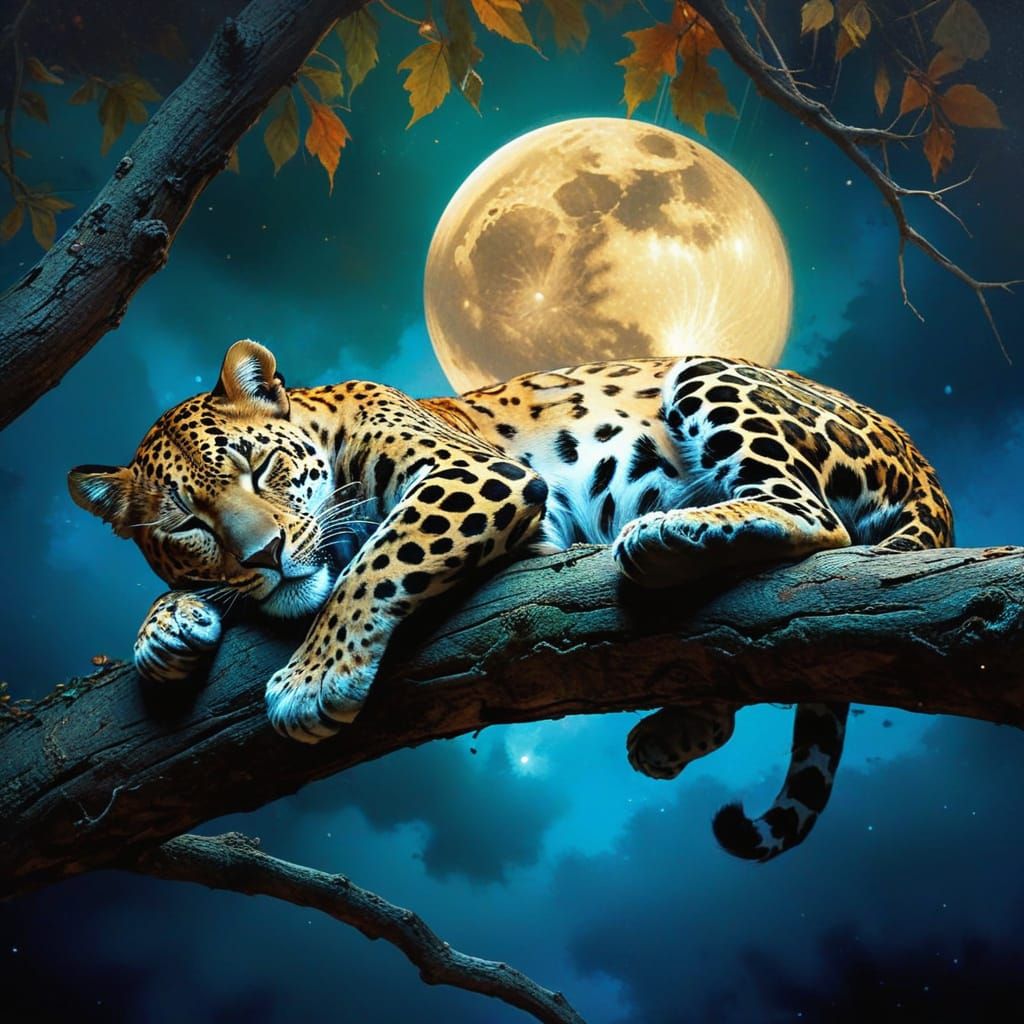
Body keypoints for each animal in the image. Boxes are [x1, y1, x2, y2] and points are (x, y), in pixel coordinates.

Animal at [69, 339, 953, 862]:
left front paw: (318, 675)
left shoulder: (476, 477)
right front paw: (166, 628)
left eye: (261, 469)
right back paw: (669, 726)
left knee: (813, 515)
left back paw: (671, 534)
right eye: (187, 525)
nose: (264, 554)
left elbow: (375, 560)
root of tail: (923, 464)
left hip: (713, 378)